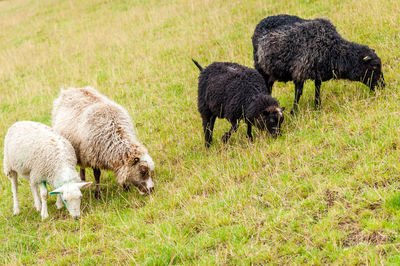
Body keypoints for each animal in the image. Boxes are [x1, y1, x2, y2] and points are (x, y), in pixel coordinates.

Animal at [252, 14, 386, 112]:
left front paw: (317, 107)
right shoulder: (300, 72)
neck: (333, 49)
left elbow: (317, 88)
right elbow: (298, 93)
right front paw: (294, 112)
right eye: (374, 67)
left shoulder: (318, 72)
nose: (383, 86)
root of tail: (262, 21)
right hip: (261, 68)